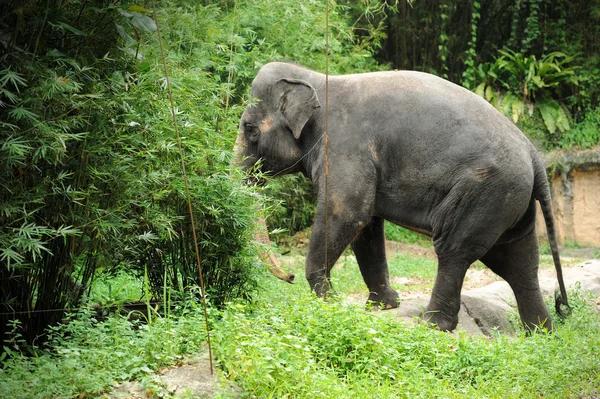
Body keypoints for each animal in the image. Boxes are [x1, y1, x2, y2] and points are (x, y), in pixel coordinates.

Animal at [233, 61, 568, 332]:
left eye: (249, 129)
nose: (288, 276)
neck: (317, 78)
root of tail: (534, 155)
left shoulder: (345, 147)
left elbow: (347, 213)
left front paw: (328, 303)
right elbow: (366, 226)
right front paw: (383, 305)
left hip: (486, 192)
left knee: (455, 249)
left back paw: (433, 324)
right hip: (510, 199)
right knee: (518, 261)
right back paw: (540, 332)